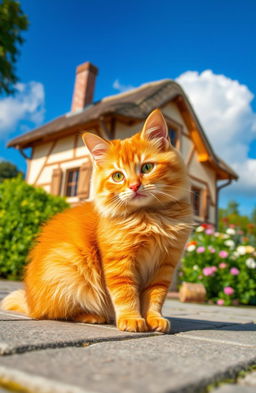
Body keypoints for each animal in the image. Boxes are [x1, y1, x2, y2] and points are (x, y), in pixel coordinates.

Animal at [1, 108, 192, 330]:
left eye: (146, 168)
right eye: (118, 176)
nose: (134, 186)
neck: (149, 218)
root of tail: (31, 303)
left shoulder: (164, 265)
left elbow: (155, 297)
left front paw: (154, 319)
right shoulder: (119, 262)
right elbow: (126, 295)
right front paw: (132, 319)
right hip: (70, 268)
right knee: (59, 313)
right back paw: (94, 316)